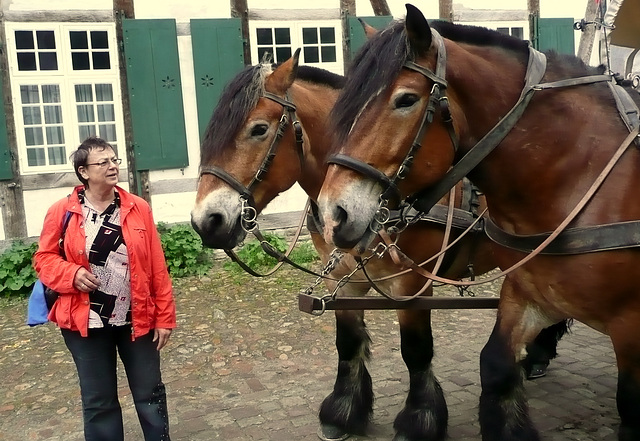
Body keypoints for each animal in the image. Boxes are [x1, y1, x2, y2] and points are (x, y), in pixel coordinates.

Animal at [190, 51, 564, 440]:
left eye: (259, 129)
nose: (206, 221)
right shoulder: (342, 278)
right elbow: (348, 343)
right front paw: (342, 412)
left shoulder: (411, 284)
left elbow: (415, 350)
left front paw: (420, 420)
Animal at [318, 4, 640, 440]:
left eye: (406, 99)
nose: (331, 212)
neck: (581, 175)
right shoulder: (527, 294)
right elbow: (495, 366)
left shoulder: (631, 327)